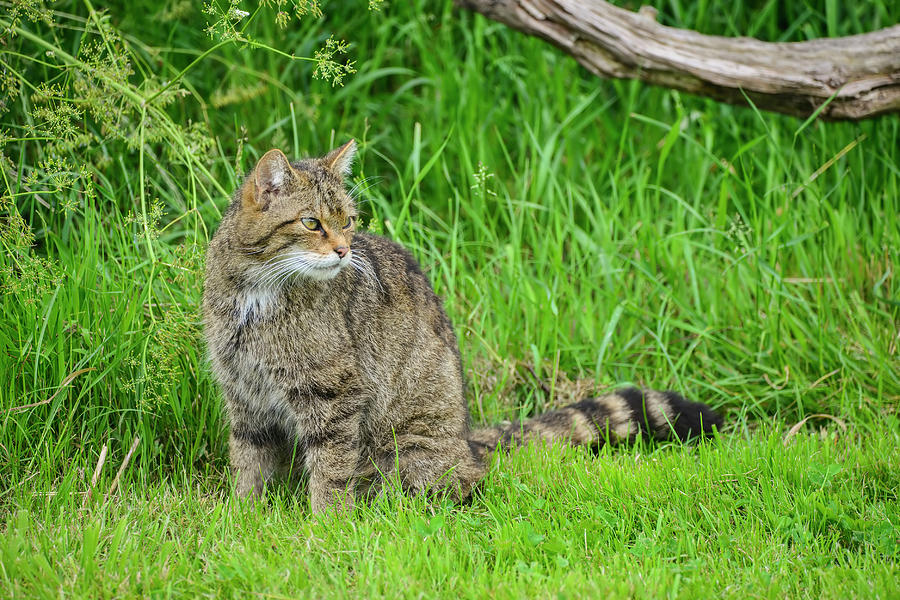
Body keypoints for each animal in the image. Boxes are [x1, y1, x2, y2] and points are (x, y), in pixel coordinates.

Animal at [204, 141, 724, 510]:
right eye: (312, 223)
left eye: (349, 221)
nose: (344, 250)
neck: (256, 294)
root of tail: (467, 440)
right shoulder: (243, 394)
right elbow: (249, 462)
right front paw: (243, 517)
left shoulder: (334, 392)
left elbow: (330, 470)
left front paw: (324, 526)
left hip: (405, 452)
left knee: (457, 485)